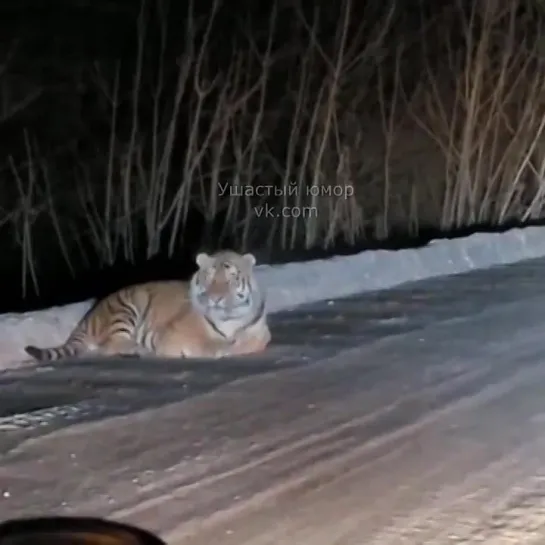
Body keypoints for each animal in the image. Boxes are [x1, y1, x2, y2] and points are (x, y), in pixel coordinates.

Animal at [23, 250, 270, 362]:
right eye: (209, 277)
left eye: (230, 278)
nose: (216, 298)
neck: (230, 319)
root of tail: (89, 315)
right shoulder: (176, 333)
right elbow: (210, 344)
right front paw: (223, 348)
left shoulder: (260, 332)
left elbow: (257, 341)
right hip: (128, 307)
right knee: (110, 346)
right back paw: (139, 349)